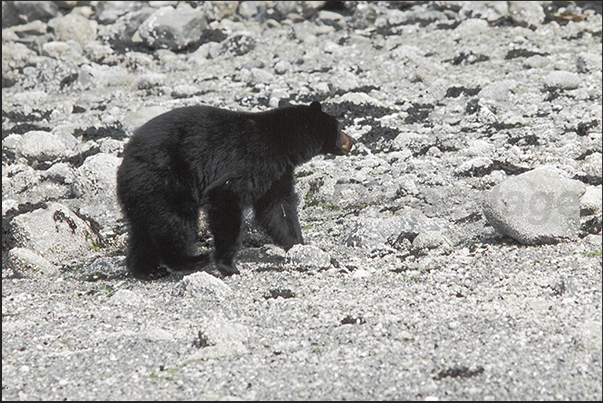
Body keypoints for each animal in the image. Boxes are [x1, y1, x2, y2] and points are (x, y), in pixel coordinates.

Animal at [115, 101, 356, 280]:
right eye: (338, 127)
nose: (352, 141)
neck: (282, 143)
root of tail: (126, 157)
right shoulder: (250, 161)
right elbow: (226, 199)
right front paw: (228, 265)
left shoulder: (277, 173)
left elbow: (278, 209)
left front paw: (300, 246)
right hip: (165, 180)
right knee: (176, 222)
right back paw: (193, 260)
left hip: (142, 192)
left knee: (143, 230)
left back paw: (146, 269)